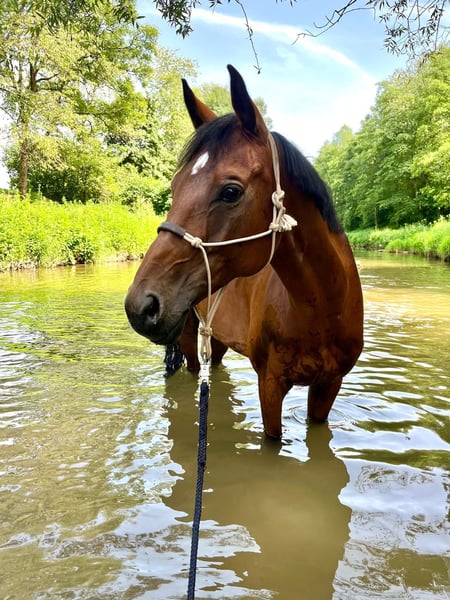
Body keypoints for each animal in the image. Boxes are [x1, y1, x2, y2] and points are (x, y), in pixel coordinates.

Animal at [125, 65, 363, 438]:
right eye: (174, 188)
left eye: (231, 191)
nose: (141, 306)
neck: (323, 309)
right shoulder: (270, 384)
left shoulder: (329, 386)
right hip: (190, 340)